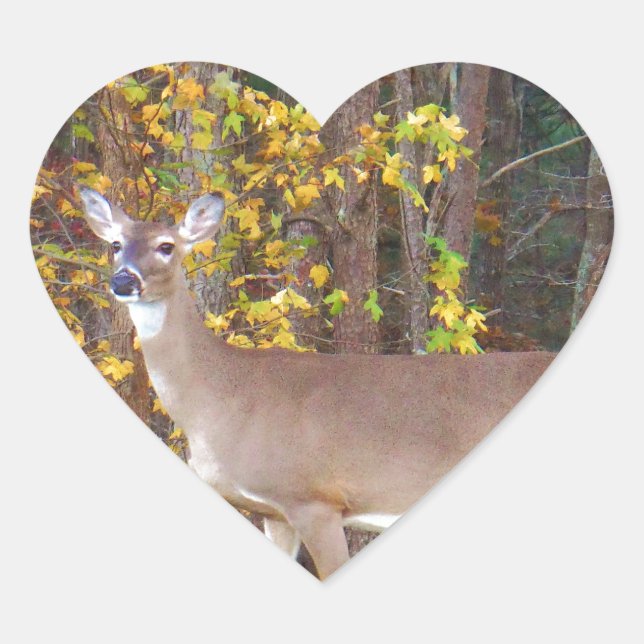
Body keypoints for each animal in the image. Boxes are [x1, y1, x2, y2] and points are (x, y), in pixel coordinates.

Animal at [80, 188, 555, 580]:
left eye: (166, 246)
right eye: (116, 244)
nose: (123, 280)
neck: (222, 399)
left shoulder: (314, 498)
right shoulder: (274, 511)